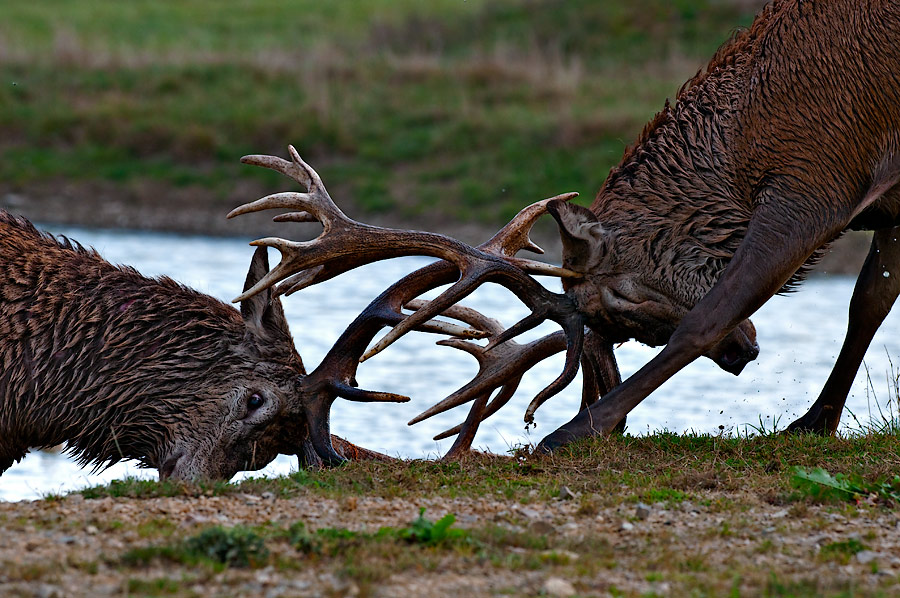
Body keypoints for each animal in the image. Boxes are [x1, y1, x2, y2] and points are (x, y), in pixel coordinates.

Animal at [230, 0, 898, 458]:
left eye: (623, 295)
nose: (745, 354)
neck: (741, 145)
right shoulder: (888, 200)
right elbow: (867, 302)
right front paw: (816, 421)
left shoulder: (816, 177)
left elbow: (711, 316)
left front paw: (573, 429)